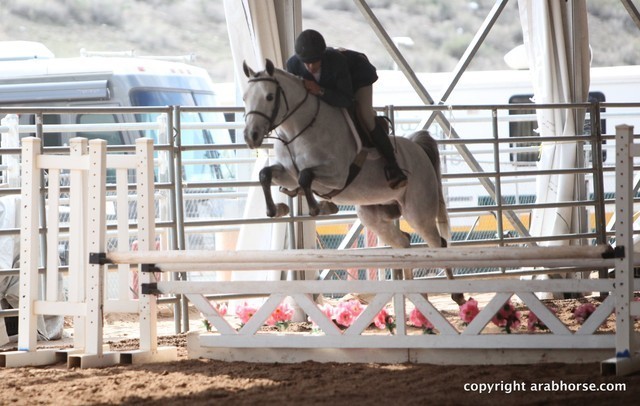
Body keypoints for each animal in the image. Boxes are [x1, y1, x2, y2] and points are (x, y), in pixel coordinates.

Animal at [242, 59, 465, 305]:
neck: (298, 130)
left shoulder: (336, 175)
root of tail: (418, 148)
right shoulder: (287, 174)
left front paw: (318, 207)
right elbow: (266, 175)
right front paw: (278, 209)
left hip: (418, 212)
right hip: (373, 215)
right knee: (405, 243)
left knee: (437, 244)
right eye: (244, 98)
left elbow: (306, 177)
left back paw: (457, 295)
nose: (251, 136)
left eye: (269, 96)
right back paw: (415, 295)